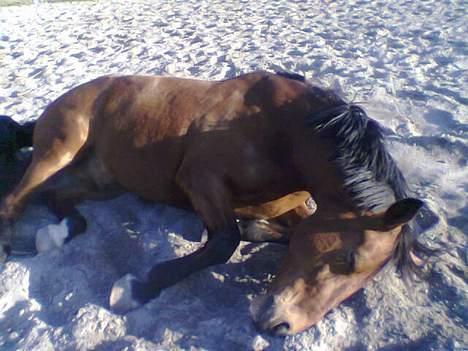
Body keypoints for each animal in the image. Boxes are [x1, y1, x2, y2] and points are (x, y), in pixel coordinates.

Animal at [0, 71, 432, 336]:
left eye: (363, 281)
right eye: (347, 260)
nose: (280, 327)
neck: (284, 133)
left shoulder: (293, 209)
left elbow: (279, 231)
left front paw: (259, 229)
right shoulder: (199, 180)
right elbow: (225, 242)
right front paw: (136, 288)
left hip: (105, 182)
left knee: (59, 201)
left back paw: (54, 235)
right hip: (57, 152)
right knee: (14, 201)